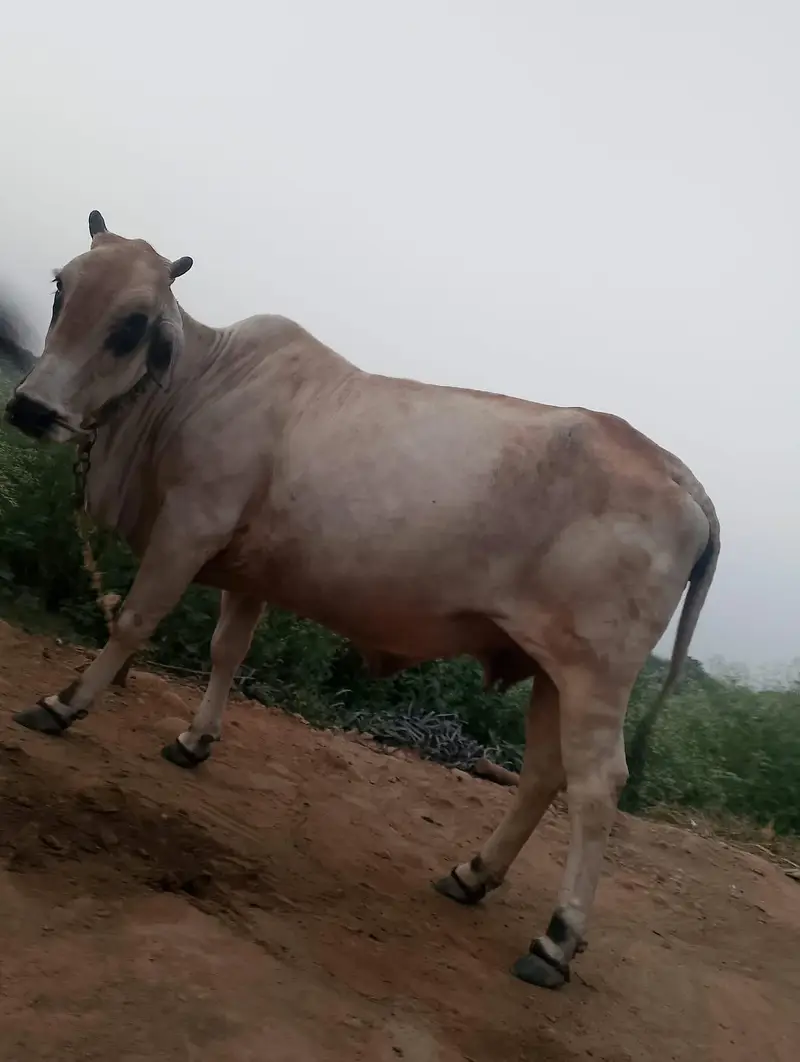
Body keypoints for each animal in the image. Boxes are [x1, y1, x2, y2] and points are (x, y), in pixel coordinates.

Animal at [3, 210, 720, 990]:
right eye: (61, 288)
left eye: (132, 323)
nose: (30, 408)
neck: (198, 385)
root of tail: (679, 473)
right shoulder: (247, 569)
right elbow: (228, 651)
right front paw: (195, 742)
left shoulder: (189, 527)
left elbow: (134, 622)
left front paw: (64, 704)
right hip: (550, 669)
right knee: (541, 774)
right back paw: (473, 874)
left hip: (595, 676)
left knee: (596, 787)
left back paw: (556, 940)